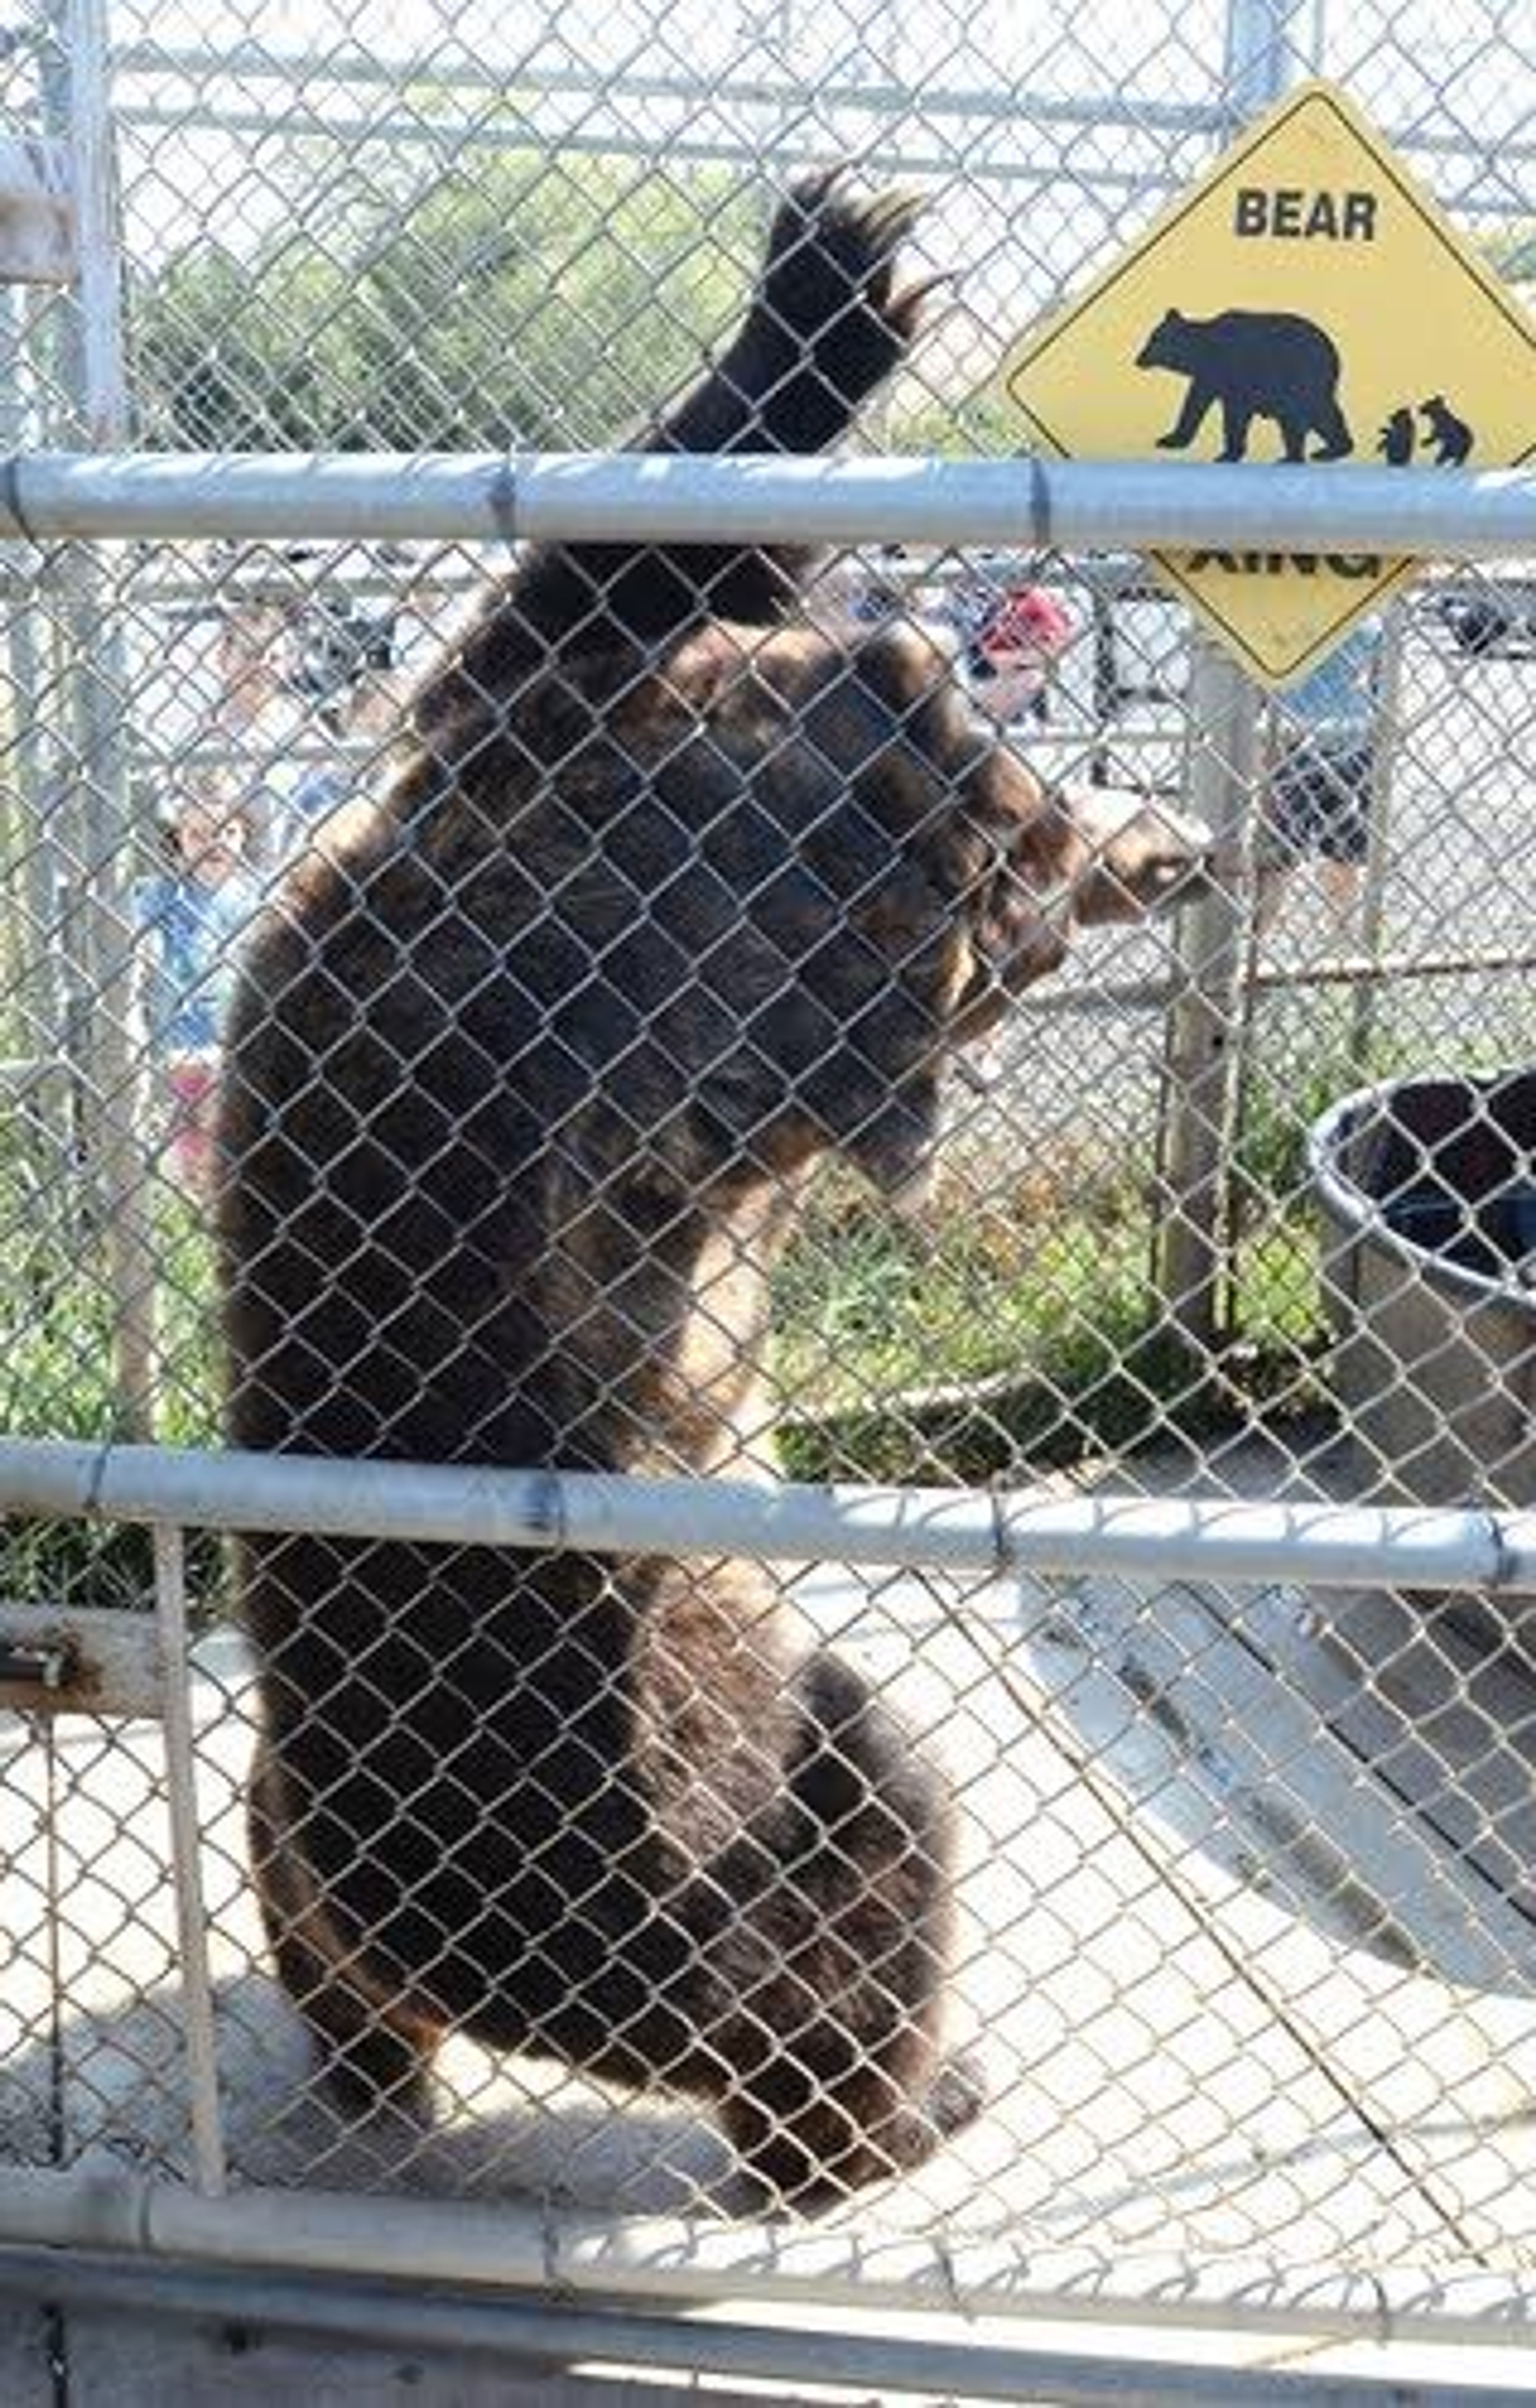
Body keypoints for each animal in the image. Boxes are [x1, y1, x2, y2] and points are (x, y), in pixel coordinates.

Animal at [216, 170, 1208, 2206]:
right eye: (1026, 882)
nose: (1163, 838)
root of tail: (472, 1937)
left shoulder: (509, 762)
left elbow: (619, 550)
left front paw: (827, 288)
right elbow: (613, 553)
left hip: (311, 1806)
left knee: (308, 1908)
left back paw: (365, 2056)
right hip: (695, 1808)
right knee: (866, 1836)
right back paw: (908, 2094)